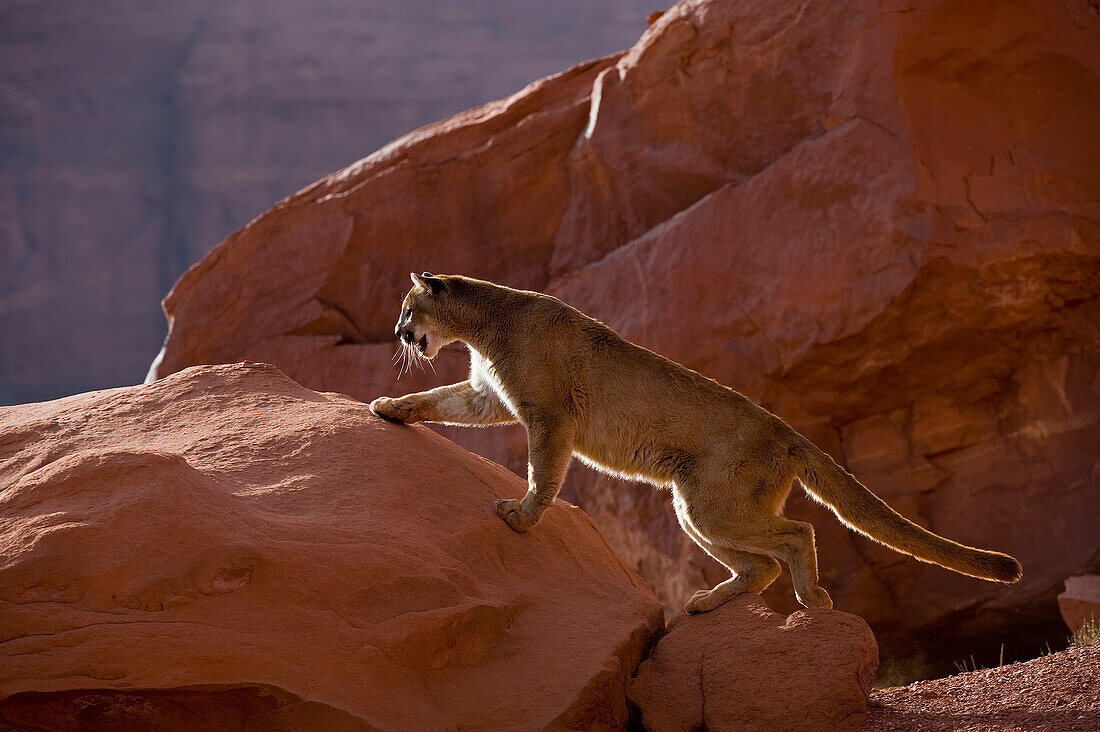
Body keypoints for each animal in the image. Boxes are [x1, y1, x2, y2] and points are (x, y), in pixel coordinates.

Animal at [369, 274, 1020, 612]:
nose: (399, 334)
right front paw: (388, 408)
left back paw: (813, 599)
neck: (488, 323)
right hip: (695, 505)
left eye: (407, 308)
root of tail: (785, 429)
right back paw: (710, 601)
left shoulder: (548, 416)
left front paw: (522, 517)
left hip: (713, 503)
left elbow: (543, 473)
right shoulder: (490, 397)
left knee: (797, 534)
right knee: (762, 563)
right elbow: (437, 401)